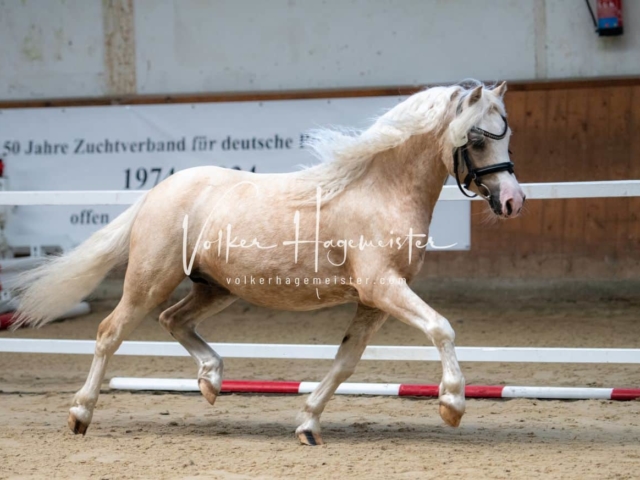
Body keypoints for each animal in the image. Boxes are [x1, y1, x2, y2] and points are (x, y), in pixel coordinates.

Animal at [13, 79, 524, 446]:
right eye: (477, 139)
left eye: (507, 136)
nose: (513, 201)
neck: (377, 192)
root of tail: (159, 191)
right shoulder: (383, 286)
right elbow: (441, 328)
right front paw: (452, 404)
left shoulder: (374, 300)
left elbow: (345, 361)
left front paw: (308, 425)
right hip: (149, 280)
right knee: (110, 332)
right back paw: (80, 414)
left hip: (214, 287)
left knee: (173, 320)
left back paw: (211, 381)